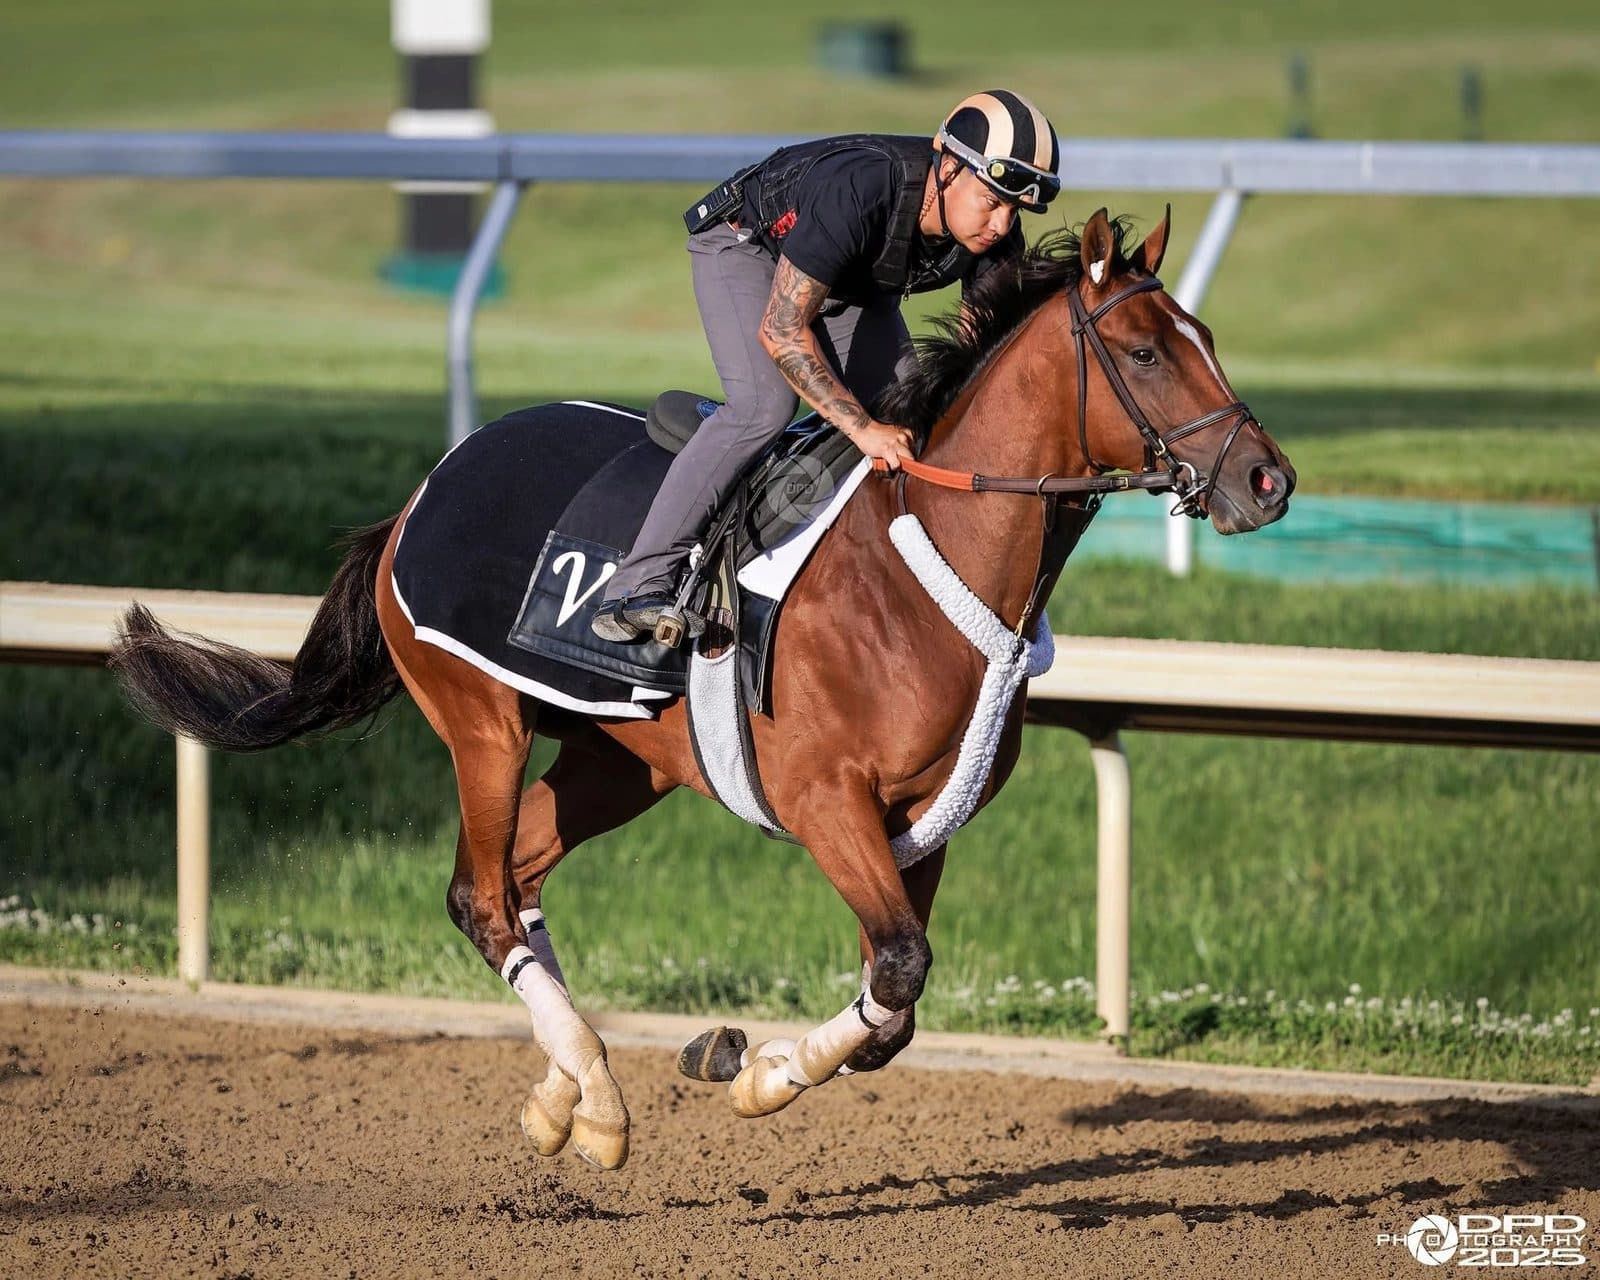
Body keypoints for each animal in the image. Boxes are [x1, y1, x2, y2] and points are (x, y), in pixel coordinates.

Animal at [110, 209, 1294, 1172]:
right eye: (1144, 350)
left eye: (1206, 337)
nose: (1266, 478)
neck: (920, 558)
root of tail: (418, 495)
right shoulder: (824, 801)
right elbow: (900, 968)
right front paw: (759, 1072)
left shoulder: (926, 823)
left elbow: (895, 1002)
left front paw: (742, 1057)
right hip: (483, 721)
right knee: (479, 894)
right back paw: (593, 1095)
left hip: (617, 760)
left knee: (521, 876)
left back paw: (567, 1097)